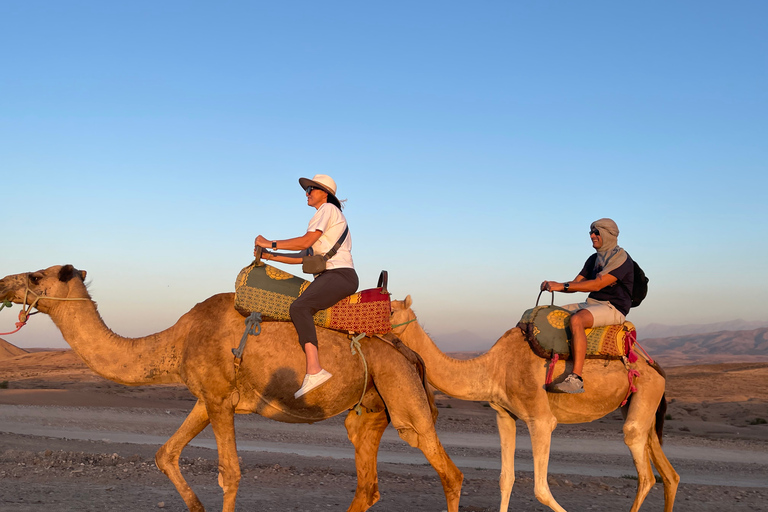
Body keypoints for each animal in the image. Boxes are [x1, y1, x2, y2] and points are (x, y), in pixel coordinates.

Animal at [0, 268, 462, 512]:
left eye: (36, 275)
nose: (4, 282)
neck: (176, 340)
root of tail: (408, 352)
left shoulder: (220, 399)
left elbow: (231, 473)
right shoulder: (208, 398)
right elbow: (166, 454)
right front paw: (196, 506)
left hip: (403, 395)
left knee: (448, 472)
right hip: (368, 410)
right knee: (368, 485)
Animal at [390, 294, 680, 512]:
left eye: (391, 309)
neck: (495, 367)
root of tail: (656, 368)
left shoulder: (540, 419)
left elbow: (541, 489)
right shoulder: (504, 415)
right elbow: (505, 479)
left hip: (646, 393)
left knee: (645, 474)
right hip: (640, 405)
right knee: (669, 474)